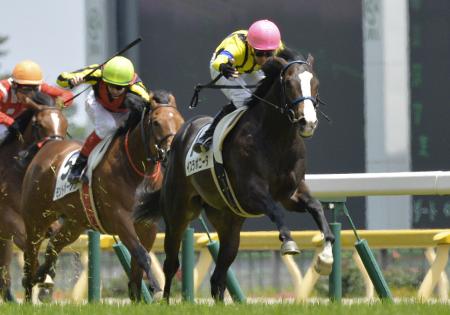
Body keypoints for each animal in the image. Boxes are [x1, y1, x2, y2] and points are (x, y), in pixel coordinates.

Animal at [0, 94, 67, 304]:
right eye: (38, 124)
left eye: (65, 124)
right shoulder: (10, 220)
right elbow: (29, 248)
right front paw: (40, 279)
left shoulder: (47, 219)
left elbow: (53, 240)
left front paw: (45, 281)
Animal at [19, 90, 185, 302]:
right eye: (156, 122)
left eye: (180, 121)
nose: (171, 151)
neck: (136, 170)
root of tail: (48, 146)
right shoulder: (119, 218)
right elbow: (142, 255)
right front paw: (155, 288)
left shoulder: (147, 225)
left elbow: (138, 265)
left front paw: (137, 297)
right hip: (36, 219)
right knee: (30, 257)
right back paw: (30, 288)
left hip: (75, 223)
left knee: (54, 245)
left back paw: (43, 277)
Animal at [135, 55, 336, 302]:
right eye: (289, 83)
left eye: (315, 83)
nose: (307, 122)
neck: (276, 139)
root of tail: (181, 134)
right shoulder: (252, 191)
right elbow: (275, 210)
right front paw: (288, 242)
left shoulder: (291, 193)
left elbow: (315, 206)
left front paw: (326, 258)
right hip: (178, 213)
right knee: (171, 264)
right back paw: (164, 301)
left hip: (228, 222)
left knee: (218, 276)